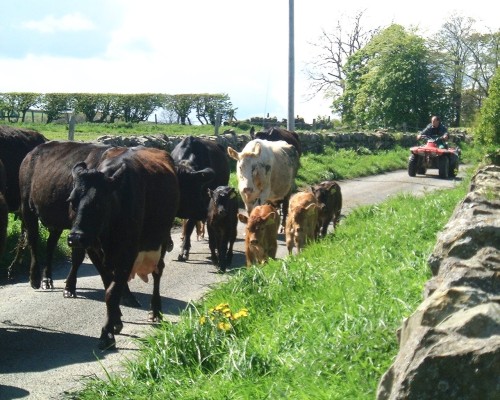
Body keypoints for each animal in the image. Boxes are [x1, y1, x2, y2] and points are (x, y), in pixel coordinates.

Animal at [66, 146, 180, 350]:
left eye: (99, 202)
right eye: (72, 200)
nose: (76, 237)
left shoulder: (128, 253)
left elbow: (112, 292)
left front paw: (107, 333)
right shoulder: (94, 251)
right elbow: (109, 286)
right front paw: (116, 321)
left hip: (161, 239)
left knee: (158, 272)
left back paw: (156, 311)